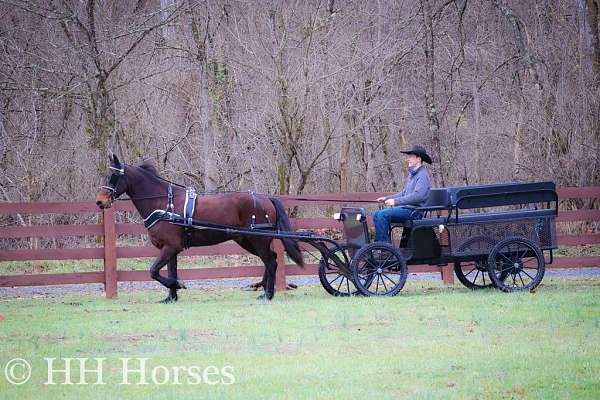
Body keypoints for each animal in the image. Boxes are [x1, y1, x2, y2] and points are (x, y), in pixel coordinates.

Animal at [98, 155, 308, 302]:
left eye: (113, 176)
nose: (100, 202)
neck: (164, 203)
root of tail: (266, 199)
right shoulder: (171, 249)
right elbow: (169, 270)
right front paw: (170, 297)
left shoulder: (171, 247)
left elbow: (154, 271)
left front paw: (179, 285)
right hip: (247, 240)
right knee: (271, 259)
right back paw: (263, 288)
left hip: (258, 239)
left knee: (271, 262)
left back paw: (268, 294)